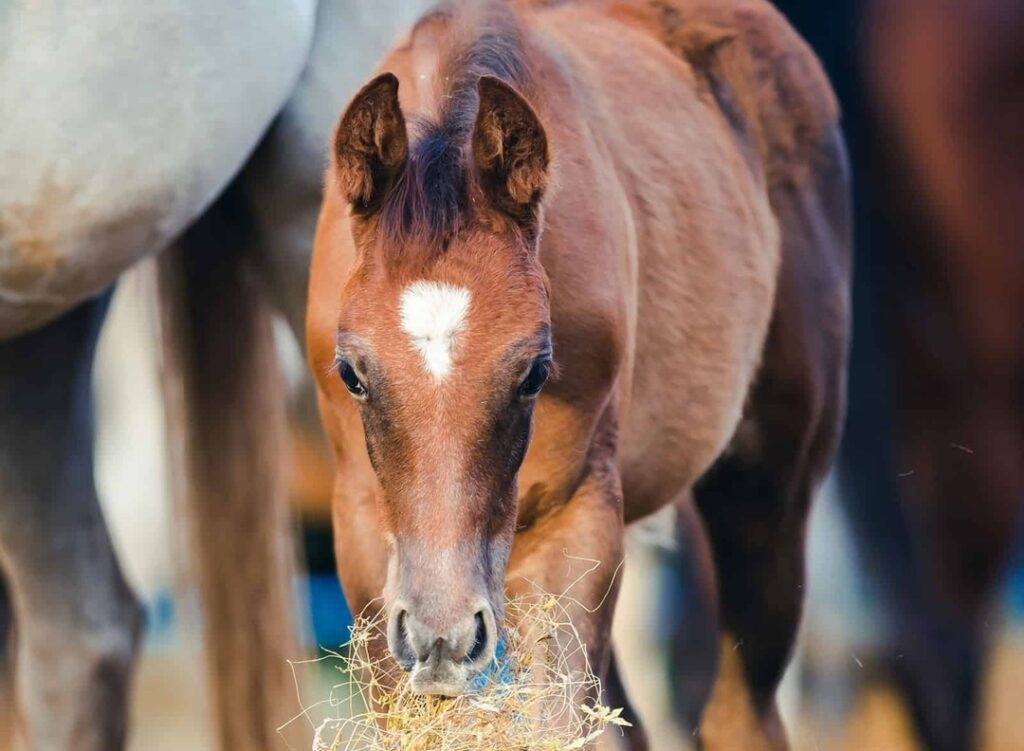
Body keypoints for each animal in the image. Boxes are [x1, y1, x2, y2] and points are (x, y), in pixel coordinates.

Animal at [306, 1, 851, 747]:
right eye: (352, 374)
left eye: (536, 373)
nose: (443, 639)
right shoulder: (361, 526)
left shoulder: (579, 511)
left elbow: (560, 718)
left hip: (770, 488)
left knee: (740, 712)